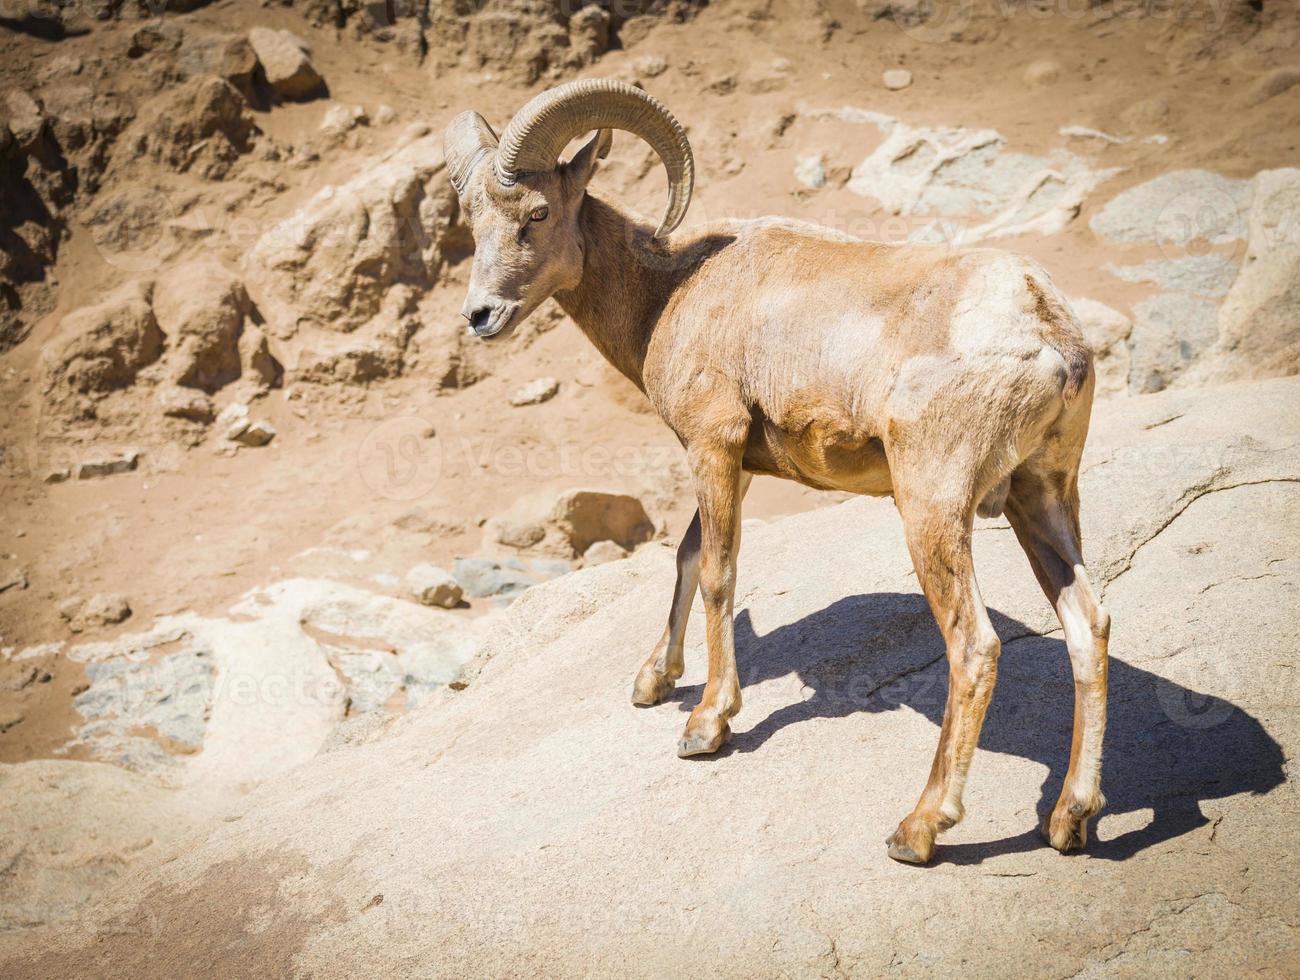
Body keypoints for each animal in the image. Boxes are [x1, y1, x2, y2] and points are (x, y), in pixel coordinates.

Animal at [444, 80, 1107, 857]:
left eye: (539, 213)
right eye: (472, 219)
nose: (481, 316)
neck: (667, 292)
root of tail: (1048, 337)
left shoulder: (713, 446)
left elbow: (716, 573)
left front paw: (705, 725)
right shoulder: (733, 462)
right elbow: (685, 556)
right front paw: (653, 681)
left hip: (931, 508)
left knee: (973, 646)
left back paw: (918, 829)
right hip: (1043, 498)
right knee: (1088, 626)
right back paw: (1069, 819)